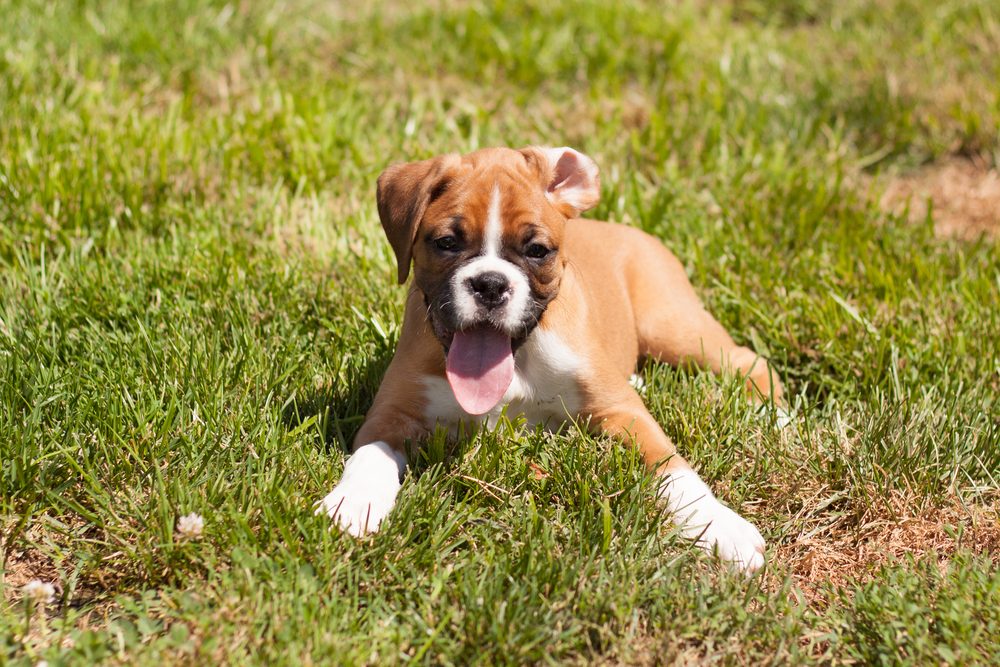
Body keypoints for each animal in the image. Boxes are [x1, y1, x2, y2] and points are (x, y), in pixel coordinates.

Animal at [318, 146, 780, 576]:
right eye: (447, 243)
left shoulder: (622, 412)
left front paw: (719, 525)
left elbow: (671, 468)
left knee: (749, 360)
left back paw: (773, 415)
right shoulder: (392, 413)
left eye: (537, 250)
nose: (490, 284)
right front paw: (353, 503)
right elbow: (370, 455)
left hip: (672, 326)